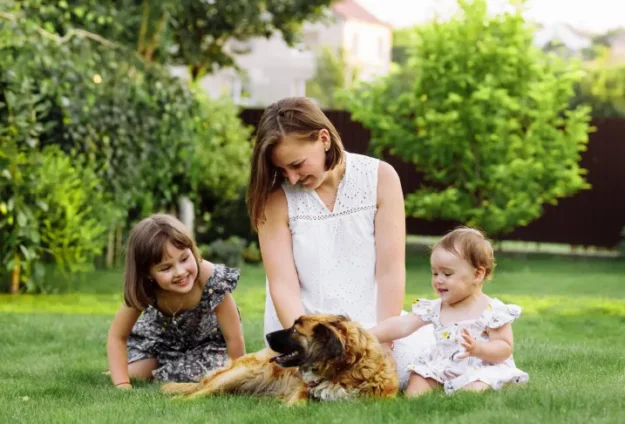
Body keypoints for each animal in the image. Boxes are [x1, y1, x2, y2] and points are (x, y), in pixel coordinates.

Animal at [160, 314, 394, 404]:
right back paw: (177, 401)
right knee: (201, 391)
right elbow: (299, 402)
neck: (342, 370)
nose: (267, 336)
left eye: (295, 330)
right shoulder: (303, 390)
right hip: (242, 374)